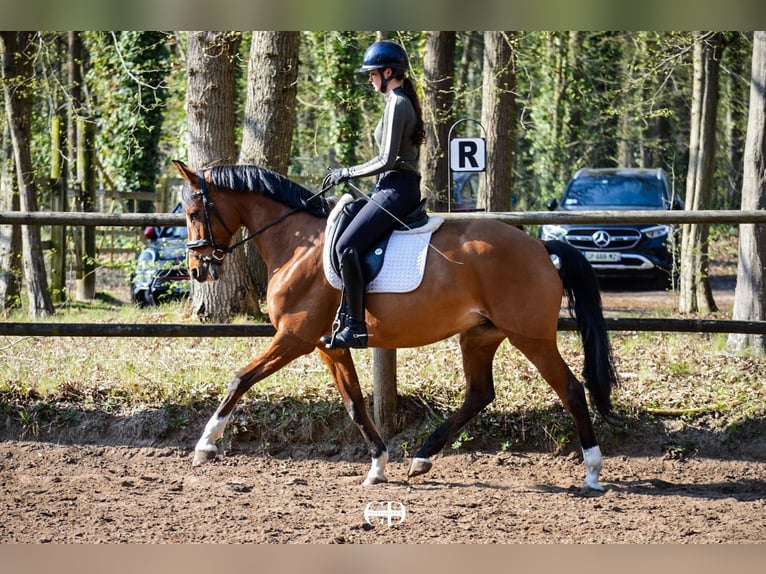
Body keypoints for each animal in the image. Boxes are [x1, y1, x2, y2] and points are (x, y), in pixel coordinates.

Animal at [173, 160, 619, 491]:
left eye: (194, 214)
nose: (197, 270)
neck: (297, 242)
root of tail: (540, 246)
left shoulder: (294, 338)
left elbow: (240, 378)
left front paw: (205, 444)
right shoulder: (329, 345)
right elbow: (354, 403)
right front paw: (378, 465)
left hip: (532, 337)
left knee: (571, 390)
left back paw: (593, 472)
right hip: (479, 335)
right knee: (479, 394)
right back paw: (421, 458)